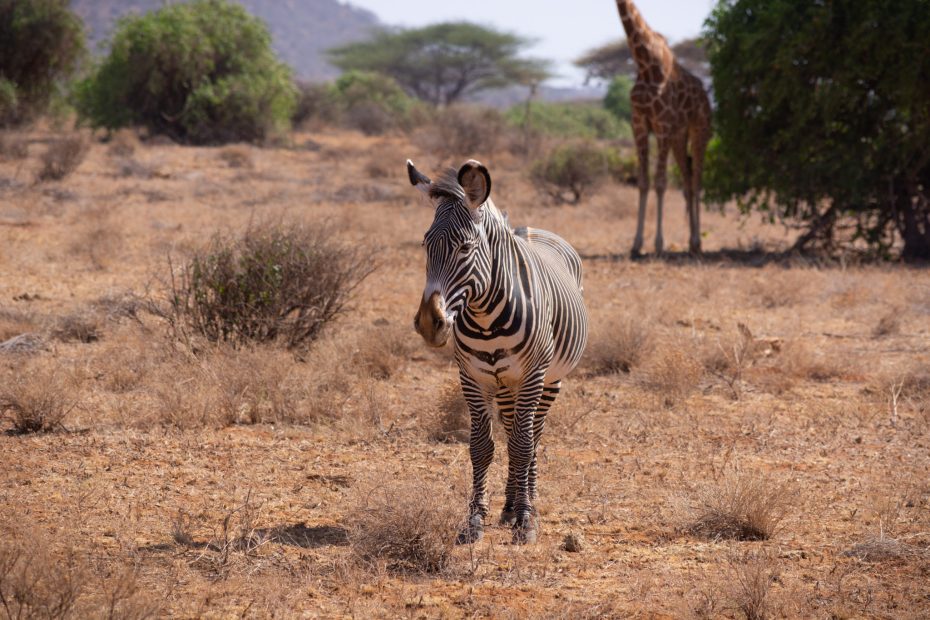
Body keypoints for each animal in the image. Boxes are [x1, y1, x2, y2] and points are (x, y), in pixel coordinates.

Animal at [407, 158, 588, 544]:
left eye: (464, 247)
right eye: (425, 244)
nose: (430, 323)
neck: (485, 316)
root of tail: (532, 230)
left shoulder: (532, 375)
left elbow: (522, 444)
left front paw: (526, 520)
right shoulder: (472, 377)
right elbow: (482, 445)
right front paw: (476, 519)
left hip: (550, 380)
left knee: (533, 433)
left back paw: (527, 500)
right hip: (505, 384)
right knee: (512, 427)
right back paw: (508, 505)